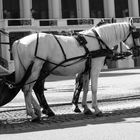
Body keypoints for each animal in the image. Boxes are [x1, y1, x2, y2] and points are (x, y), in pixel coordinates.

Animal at [11, 21, 139, 121]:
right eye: (137, 34)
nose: (137, 51)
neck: (99, 40)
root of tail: (18, 42)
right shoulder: (95, 68)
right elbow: (93, 89)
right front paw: (96, 109)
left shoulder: (86, 70)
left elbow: (85, 88)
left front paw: (86, 108)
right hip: (36, 69)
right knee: (28, 88)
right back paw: (34, 113)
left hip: (29, 70)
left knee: (26, 88)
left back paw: (37, 111)